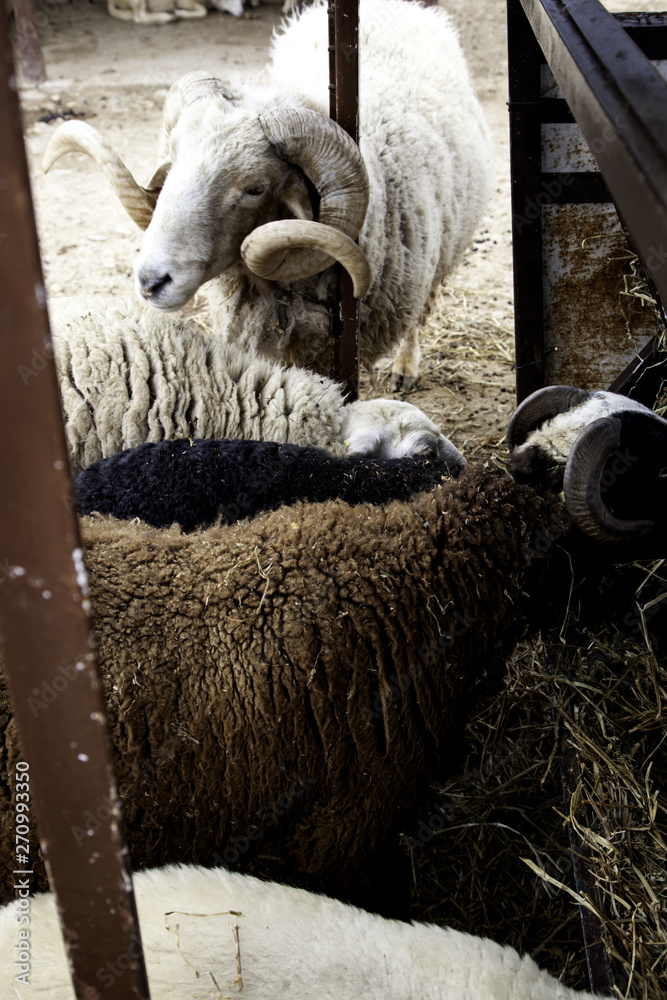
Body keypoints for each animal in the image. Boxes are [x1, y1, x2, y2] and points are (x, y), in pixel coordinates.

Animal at [43, 0, 494, 389]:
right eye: (172, 162)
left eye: (254, 188)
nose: (151, 281)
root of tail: (397, 5)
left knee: (420, 311)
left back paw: (405, 365)